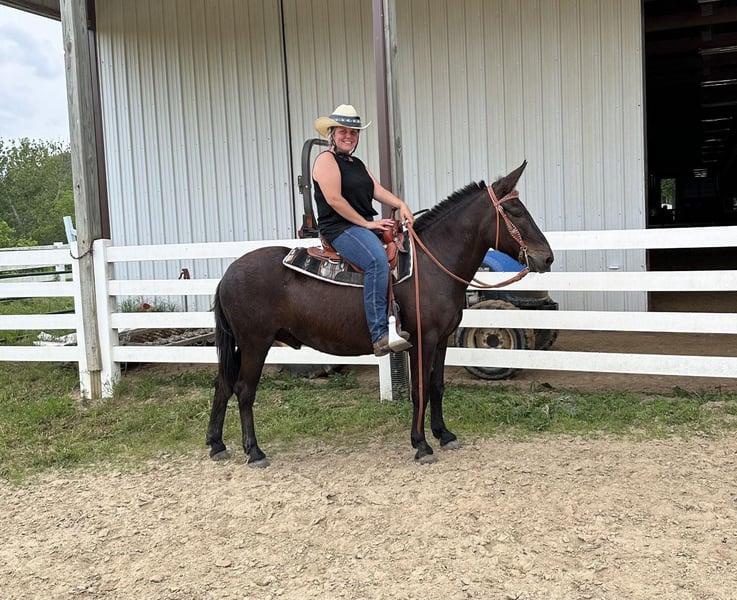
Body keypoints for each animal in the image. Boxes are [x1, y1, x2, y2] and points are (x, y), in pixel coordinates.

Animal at [206, 161, 553, 466]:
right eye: (516, 212)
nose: (547, 258)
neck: (431, 264)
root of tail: (227, 274)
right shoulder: (422, 340)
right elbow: (419, 390)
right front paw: (421, 444)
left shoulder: (441, 340)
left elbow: (437, 386)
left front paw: (444, 435)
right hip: (255, 342)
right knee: (244, 390)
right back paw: (254, 452)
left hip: (240, 344)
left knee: (223, 384)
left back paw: (216, 444)